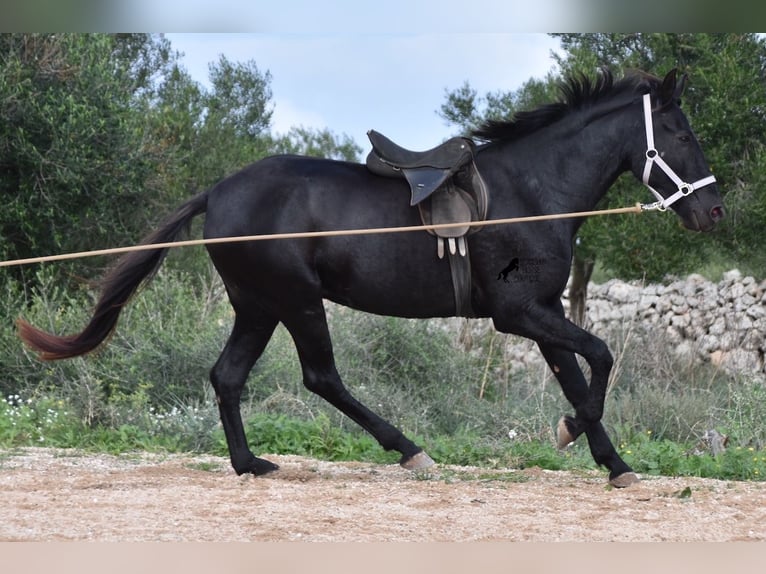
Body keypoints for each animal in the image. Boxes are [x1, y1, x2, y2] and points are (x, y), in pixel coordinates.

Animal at [18, 70, 728, 488]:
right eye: (680, 132)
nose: (714, 211)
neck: (532, 193)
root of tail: (218, 191)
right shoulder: (518, 312)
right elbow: (600, 359)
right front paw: (573, 433)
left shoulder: (544, 310)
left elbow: (578, 376)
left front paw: (613, 463)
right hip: (296, 300)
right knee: (321, 377)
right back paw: (408, 449)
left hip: (258, 304)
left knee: (228, 376)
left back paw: (250, 465)